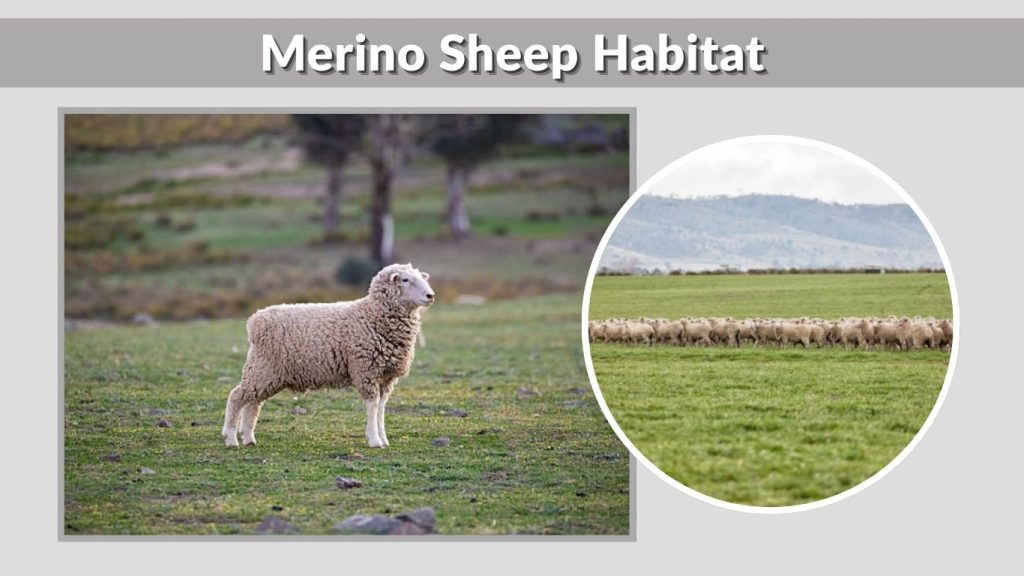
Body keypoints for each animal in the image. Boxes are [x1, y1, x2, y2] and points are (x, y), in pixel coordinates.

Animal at [221, 263, 435, 449]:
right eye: (405, 279)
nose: (430, 295)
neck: (372, 315)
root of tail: (254, 319)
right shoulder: (366, 371)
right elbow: (373, 407)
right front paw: (374, 440)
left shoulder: (386, 377)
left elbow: (381, 409)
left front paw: (383, 438)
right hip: (261, 369)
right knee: (236, 397)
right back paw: (231, 438)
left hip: (269, 375)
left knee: (253, 403)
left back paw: (249, 438)